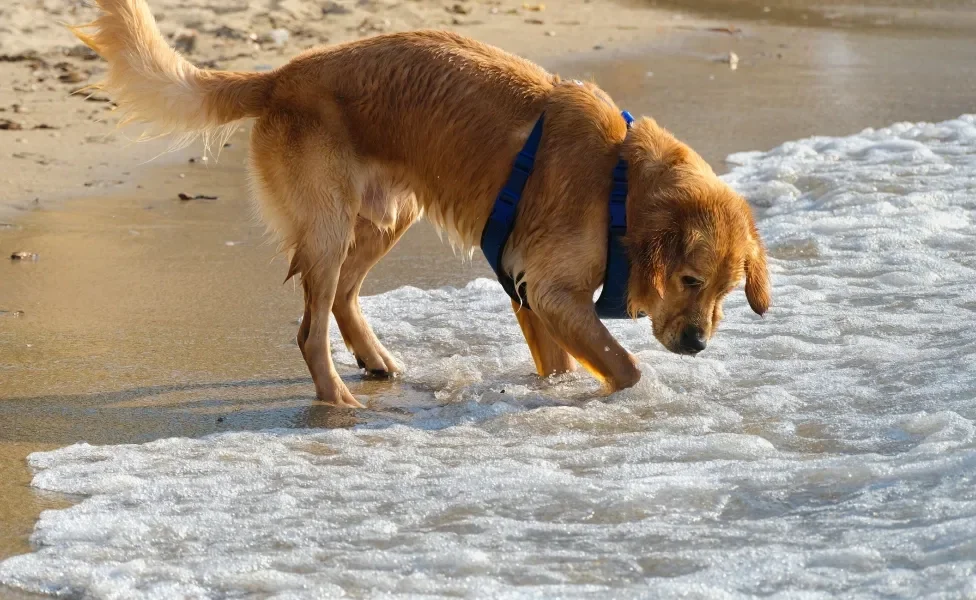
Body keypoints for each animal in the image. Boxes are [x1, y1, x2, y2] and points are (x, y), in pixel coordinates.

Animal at [72, 0, 772, 408]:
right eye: (689, 280)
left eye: (726, 292)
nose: (698, 345)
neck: (618, 181)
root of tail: (281, 76)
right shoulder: (549, 290)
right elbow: (624, 367)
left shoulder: (528, 289)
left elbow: (559, 364)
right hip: (328, 228)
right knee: (310, 327)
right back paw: (337, 400)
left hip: (390, 216)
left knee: (345, 297)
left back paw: (374, 361)